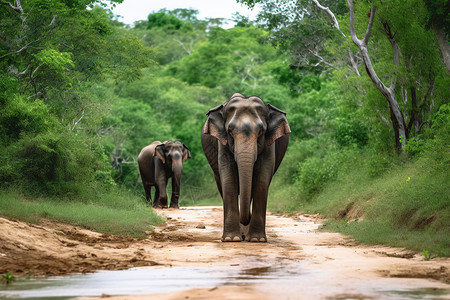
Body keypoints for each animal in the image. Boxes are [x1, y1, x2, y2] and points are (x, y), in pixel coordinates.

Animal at [201, 93, 292, 241]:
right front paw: (231, 239)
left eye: (261, 131)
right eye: (230, 131)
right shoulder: (223, 143)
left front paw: (256, 240)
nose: (246, 218)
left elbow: (261, 180)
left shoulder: (268, 144)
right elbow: (228, 179)